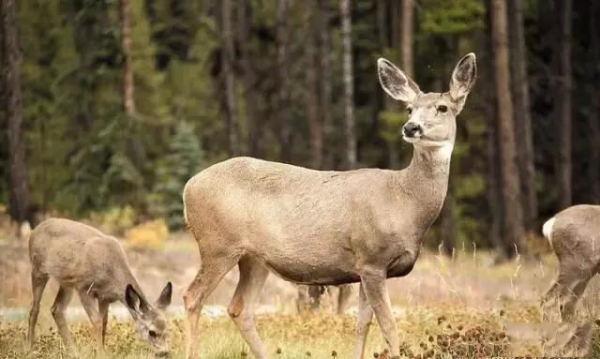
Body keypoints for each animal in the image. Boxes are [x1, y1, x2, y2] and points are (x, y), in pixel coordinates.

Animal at [28, 219, 173, 358]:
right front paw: (100, 353)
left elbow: (104, 323)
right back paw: (29, 349)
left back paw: (73, 352)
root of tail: (34, 231)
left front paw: (102, 350)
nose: (164, 352)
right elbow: (96, 321)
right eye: (152, 332)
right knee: (34, 308)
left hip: (67, 282)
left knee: (56, 309)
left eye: (167, 330)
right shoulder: (84, 288)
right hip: (38, 268)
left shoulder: (105, 297)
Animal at [183, 53, 478, 359]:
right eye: (409, 108)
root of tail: (188, 187)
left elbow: (363, 324)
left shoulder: (365, 268)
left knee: (239, 308)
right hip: (218, 245)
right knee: (193, 297)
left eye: (442, 107)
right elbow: (389, 325)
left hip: (253, 258)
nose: (411, 127)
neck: (404, 202)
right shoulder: (372, 258)